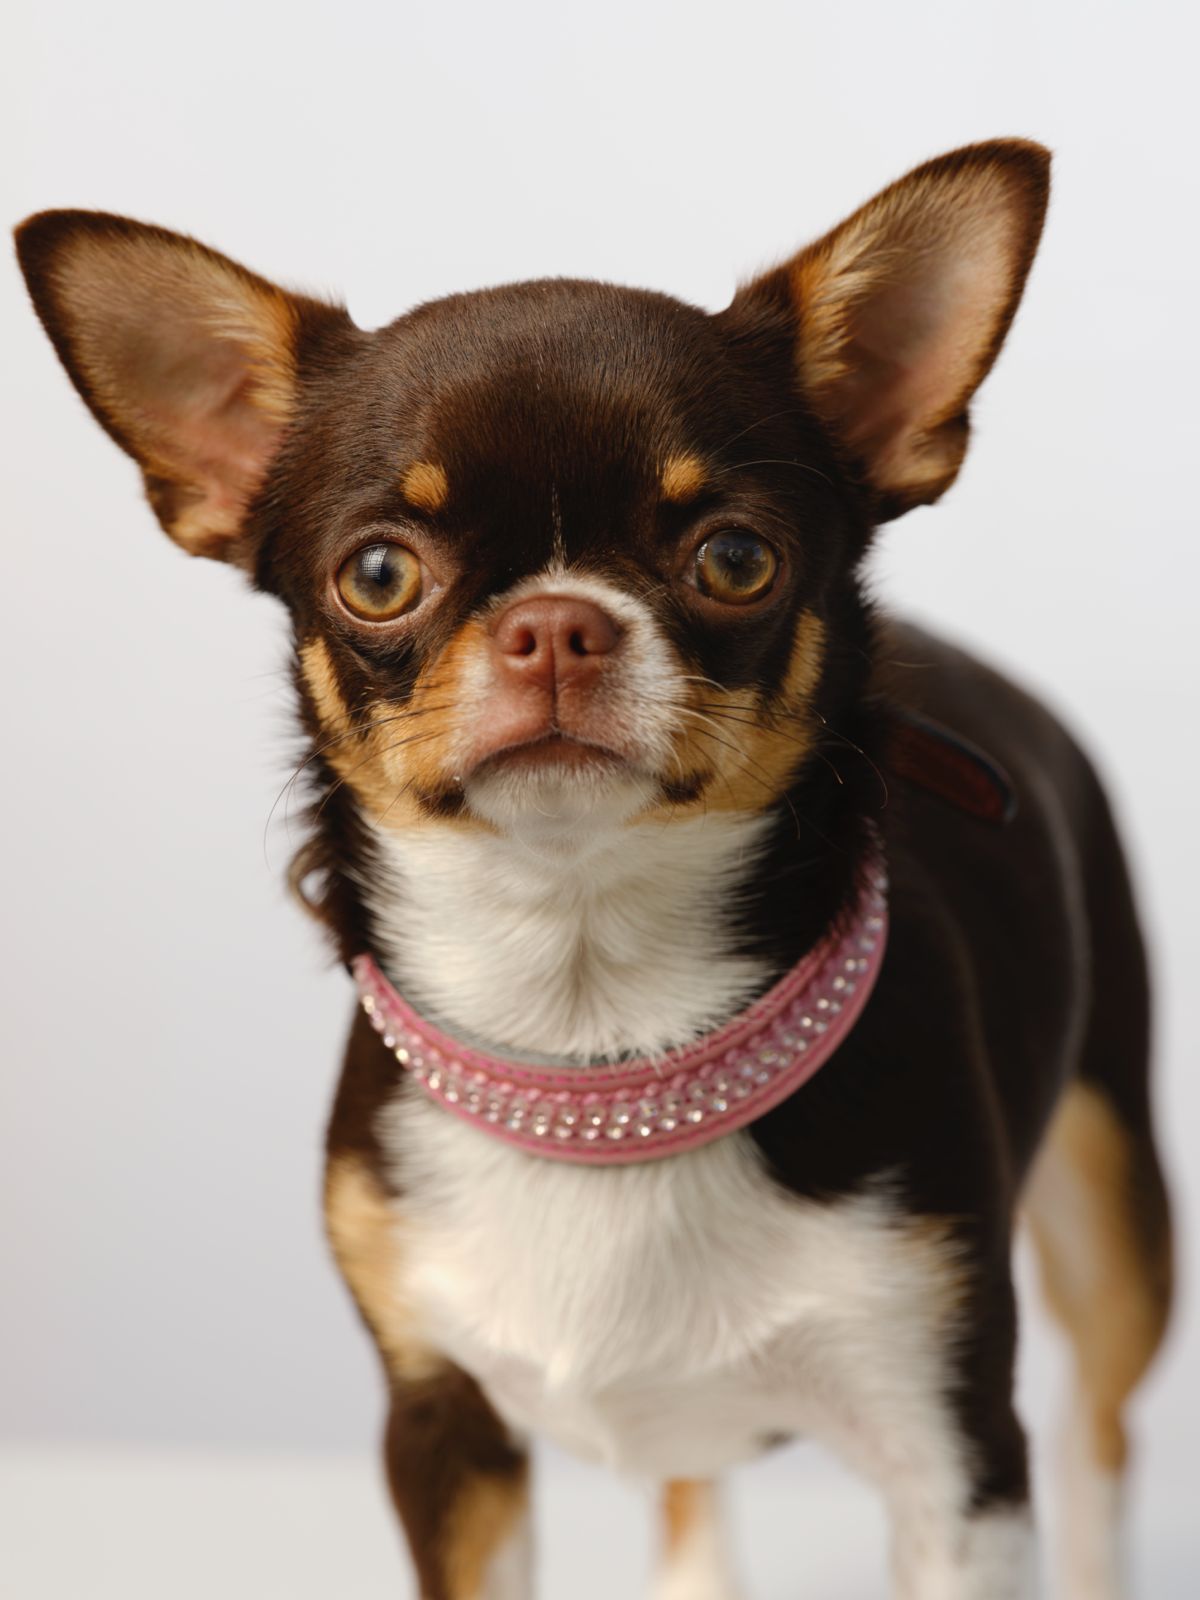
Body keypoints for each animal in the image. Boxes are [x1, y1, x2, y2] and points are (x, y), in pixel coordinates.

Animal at [14, 140, 1171, 1600]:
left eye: (734, 558)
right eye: (377, 572)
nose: (556, 622)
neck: (595, 1044)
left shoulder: (952, 1456)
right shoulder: (444, 1436)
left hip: (1115, 1206)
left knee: (1101, 1433)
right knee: (688, 1486)